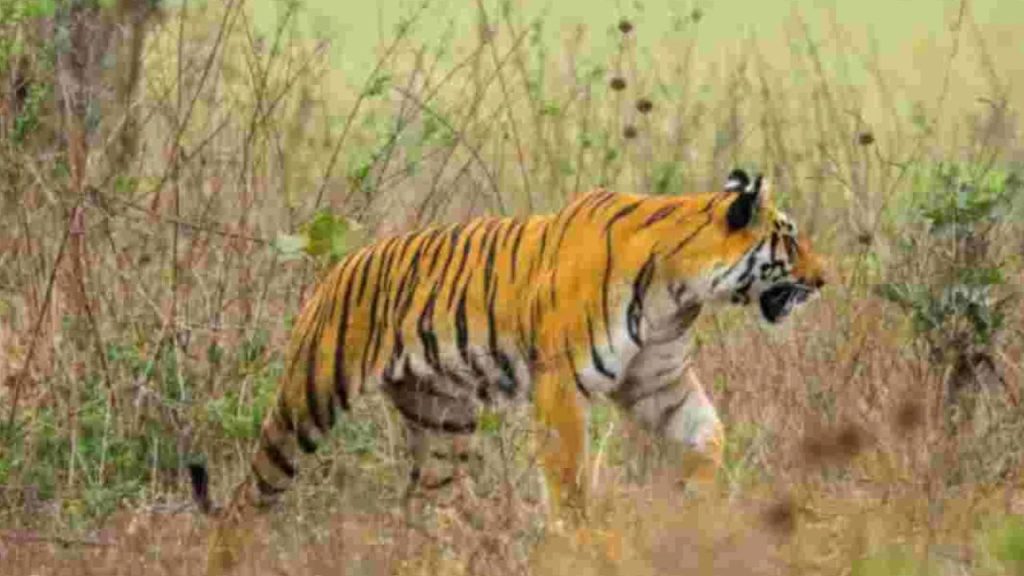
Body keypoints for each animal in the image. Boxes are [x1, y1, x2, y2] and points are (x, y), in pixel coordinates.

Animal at [188, 168, 826, 574]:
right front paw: (581, 544)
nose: (826, 279)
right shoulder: (563, 382)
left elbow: (708, 433)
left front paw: (694, 499)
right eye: (790, 239)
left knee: (428, 507)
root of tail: (343, 262)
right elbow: (568, 479)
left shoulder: (657, 381)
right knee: (251, 493)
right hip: (308, 399)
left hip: (443, 421)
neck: (683, 288)